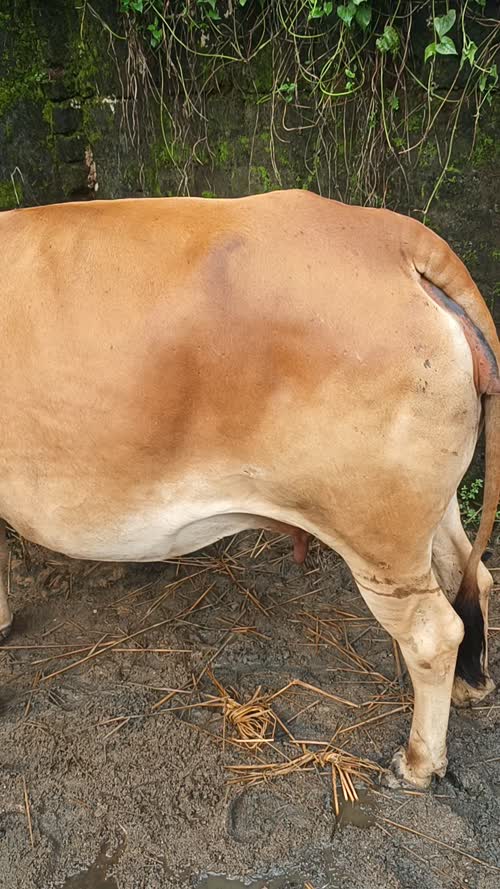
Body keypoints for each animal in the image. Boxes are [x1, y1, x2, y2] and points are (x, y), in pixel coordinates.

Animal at [0, 190, 498, 788]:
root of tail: (393, 238)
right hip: (429, 510)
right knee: (470, 574)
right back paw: (472, 685)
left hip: (379, 535)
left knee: (433, 634)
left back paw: (420, 763)